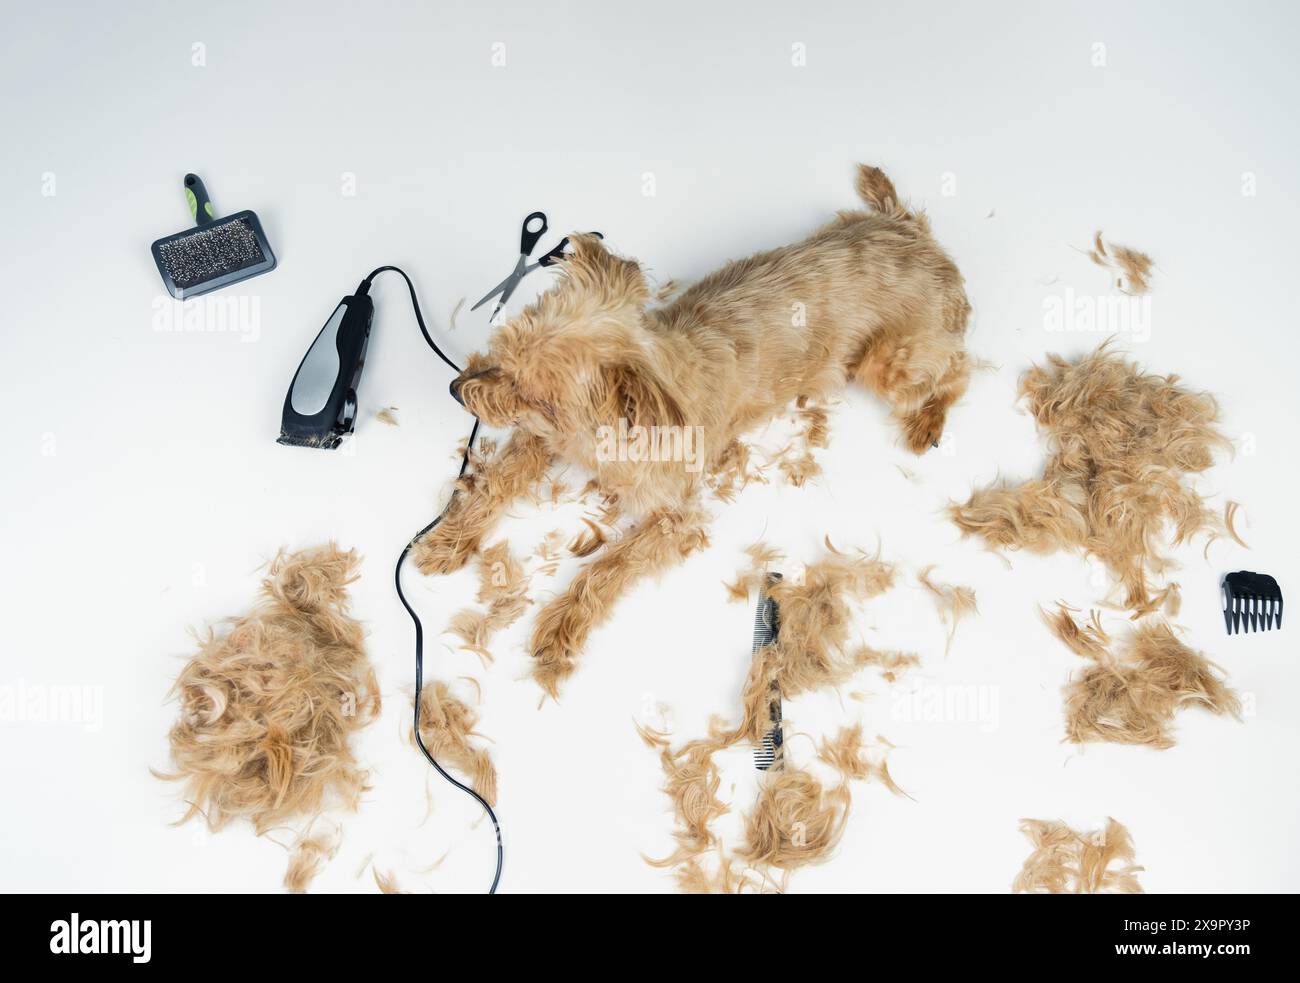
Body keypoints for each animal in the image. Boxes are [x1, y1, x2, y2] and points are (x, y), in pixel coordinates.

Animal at [410, 165, 972, 696]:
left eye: (530, 392)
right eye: (503, 349)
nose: (457, 388)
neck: (602, 435)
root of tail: (910, 229)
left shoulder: (674, 520)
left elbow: (609, 566)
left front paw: (563, 623)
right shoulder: (541, 440)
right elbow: (494, 484)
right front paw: (449, 539)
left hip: (889, 364)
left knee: (957, 366)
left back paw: (928, 419)